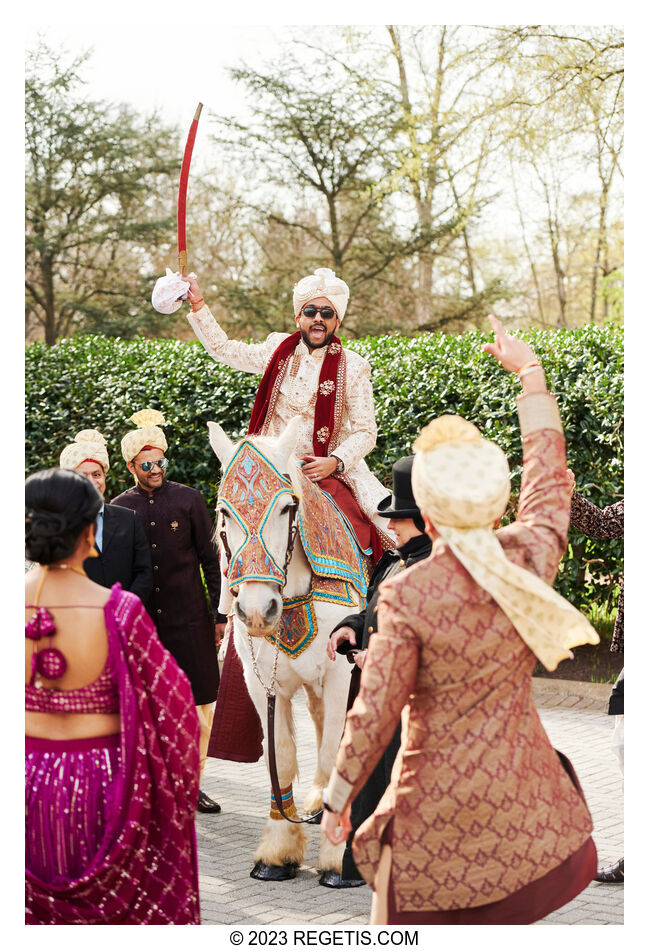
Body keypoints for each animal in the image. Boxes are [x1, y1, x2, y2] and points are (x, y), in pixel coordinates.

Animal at [208, 420, 370, 880]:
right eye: (224, 512)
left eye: (285, 508)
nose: (257, 610)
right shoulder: (261, 680)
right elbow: (279, 756)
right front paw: (277, 852)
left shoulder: (341, 673)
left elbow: (334, 749)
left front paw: (338, 856)